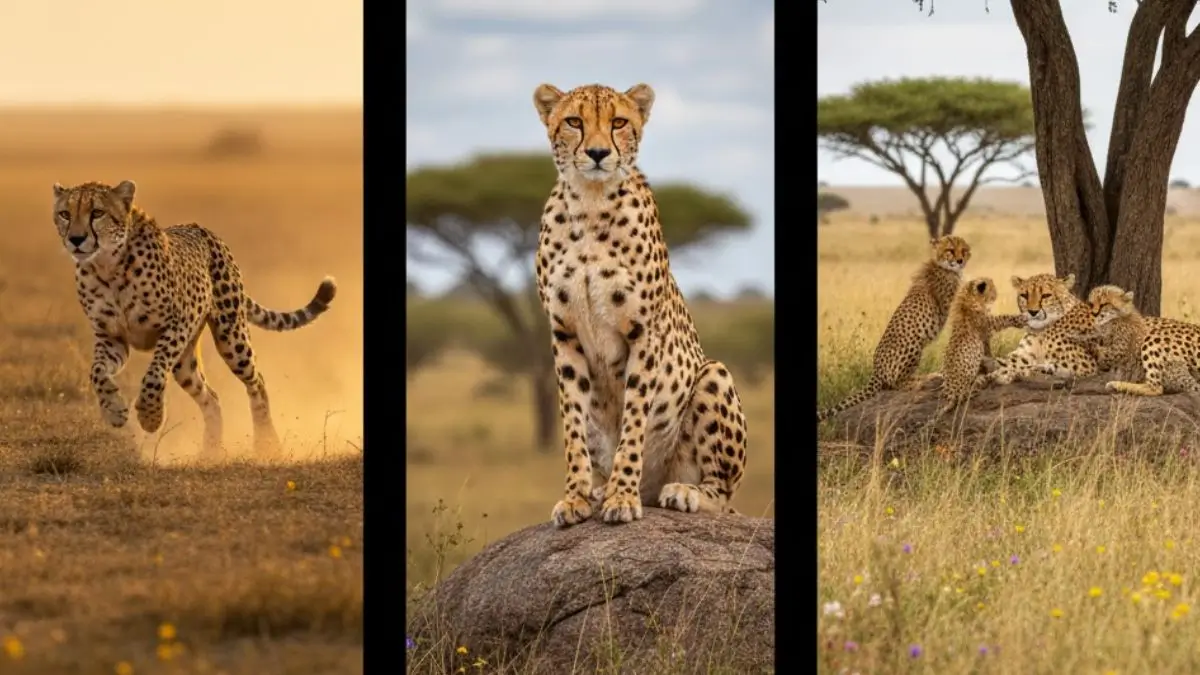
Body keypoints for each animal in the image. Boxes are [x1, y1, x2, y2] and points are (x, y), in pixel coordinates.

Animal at [53, 180, 337, 458]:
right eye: (65, 214)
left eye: (97, 213)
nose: (76, 239)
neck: (107, 268)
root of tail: (202, 229)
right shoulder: (111, 338)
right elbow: (97, 372)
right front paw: (114, 409)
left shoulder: (176, 325)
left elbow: (153, 374)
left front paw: (150, 416)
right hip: (185, 364)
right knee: (211, 397)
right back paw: (210, 451)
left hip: (231, 336)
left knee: (257, 381)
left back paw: (266, 445)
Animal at [531, 82, 747, 528]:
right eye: (574, 121)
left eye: (618, 122)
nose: (598, 153)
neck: (590, 202)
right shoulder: (564, 335)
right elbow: (572, 424)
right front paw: (576, 497)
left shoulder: (644, 332)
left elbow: (633, 420)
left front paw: (621, 496)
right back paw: (599, 490)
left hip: (713, 374)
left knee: (720, 493)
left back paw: (680, 492)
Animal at [816, 235, 971, 422]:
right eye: (950, 250)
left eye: (963, 250)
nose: (960, 260)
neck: (943, 266)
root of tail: (875, 371)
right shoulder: (947, 304)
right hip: (913, 343)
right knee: (897, 384)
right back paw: (925, 378)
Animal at [936, 277, 1028, 414]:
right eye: (992, 288)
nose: (996, 294)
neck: (968, 299)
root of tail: (951, 392)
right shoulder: (989, 325)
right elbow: (1003, 318)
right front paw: (1020, 319)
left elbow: (988, 352)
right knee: (968, 393)